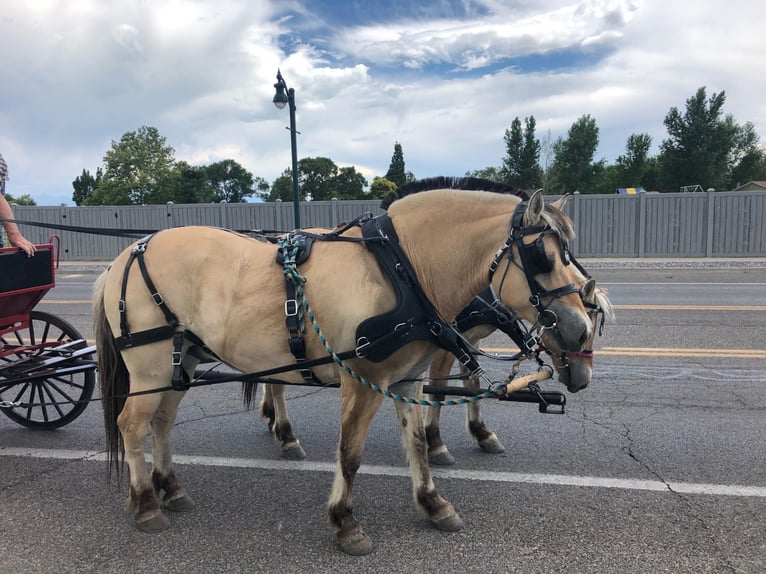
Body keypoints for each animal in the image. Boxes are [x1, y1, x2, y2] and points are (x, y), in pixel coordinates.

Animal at [91, 178, 592, 556]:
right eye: (542, 257)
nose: (581, 331)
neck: (401, 268)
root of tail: (127, 253)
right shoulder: (364, 381)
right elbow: (350, 453)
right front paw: (345, 522)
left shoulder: (405, 378)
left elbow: (416, 444)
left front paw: (433, 503)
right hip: (151, 366)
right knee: (131, 425)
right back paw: (145, 503)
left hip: (183, 360)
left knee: (162, 423)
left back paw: (171, 488)